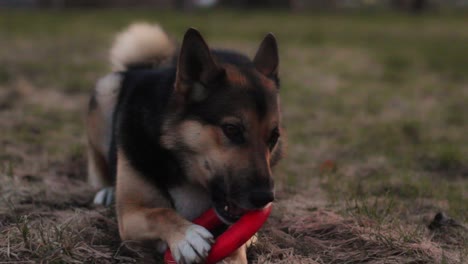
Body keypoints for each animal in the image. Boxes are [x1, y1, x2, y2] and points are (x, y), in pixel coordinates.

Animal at [87, 23, 286, 264]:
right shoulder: (129, 216)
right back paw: (107, 191)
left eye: (273, 137)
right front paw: (187, 235)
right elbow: (160, 213)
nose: (264, 198)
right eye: (231, 130)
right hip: (107, 90)